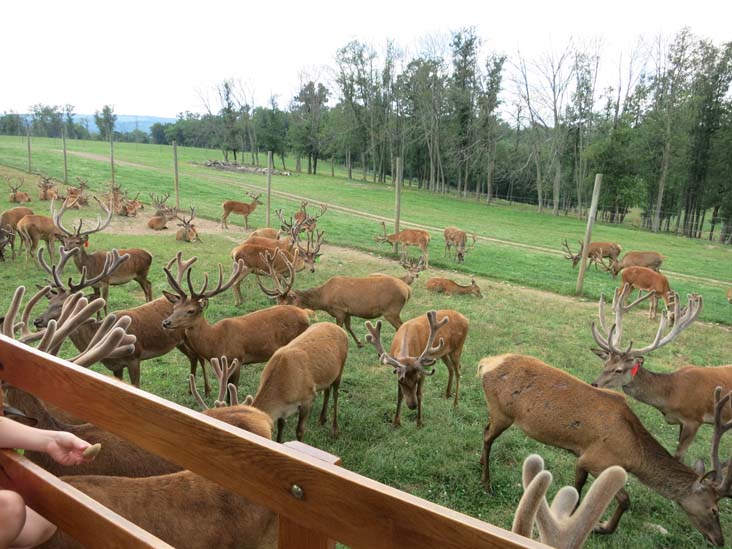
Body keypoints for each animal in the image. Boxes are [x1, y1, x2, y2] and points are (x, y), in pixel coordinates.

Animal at [161, 259, 311, 391]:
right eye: (174, 307)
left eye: (191, 310)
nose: (166, 322)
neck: (215, 342)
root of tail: (305, 315)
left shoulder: (237, 359)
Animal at [257, 249, 411, 347]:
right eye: (277, 302)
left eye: (287, 302)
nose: (276, 316)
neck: (324, 300)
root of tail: (407, 290)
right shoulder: (348, 311)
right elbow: (349, 327)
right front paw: (360, 343)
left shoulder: (339, 309)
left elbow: (340, 327)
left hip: (391, 310)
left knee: (401, 325)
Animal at [478, 353, 730, 546]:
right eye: (713, 509)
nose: (719, 540)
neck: (633, 453)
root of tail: (485, 363)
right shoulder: (595, 459)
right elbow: (621, 498)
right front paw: (598, 527)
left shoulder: (588, 458)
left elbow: (586, 489)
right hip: (502, 411)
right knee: (488, 436)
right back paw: (486, 483)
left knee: (485, 429)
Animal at [590, 284, 732, 460]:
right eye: (605, 363)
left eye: (619, 370)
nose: (594, 384)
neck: (671, 396)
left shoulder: (694, 420)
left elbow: (678, 457)